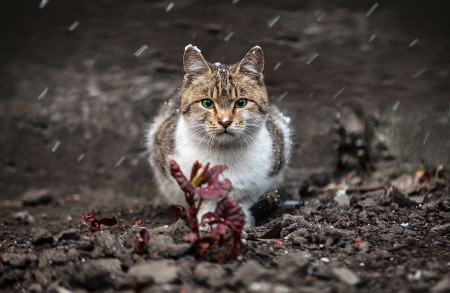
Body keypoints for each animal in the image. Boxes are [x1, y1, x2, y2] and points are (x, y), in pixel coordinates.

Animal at [149, 44, 292, 226]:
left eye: (241, 102)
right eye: (207, 103)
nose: (225, 122)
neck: (224, 153)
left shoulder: (265, 177)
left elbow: (244, 199)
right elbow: (204, 201)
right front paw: (207, 222)